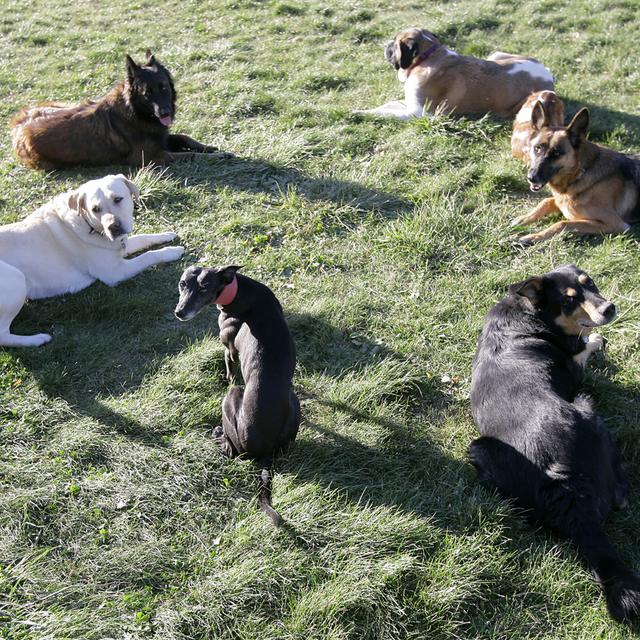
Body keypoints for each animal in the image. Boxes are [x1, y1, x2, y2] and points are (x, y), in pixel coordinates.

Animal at [0, 172, 185, 348]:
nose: (113, 227)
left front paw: (166, 235)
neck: (89, 226)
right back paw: (36, 340)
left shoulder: (119, 247)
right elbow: (149, 255)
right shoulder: (115, 272)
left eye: (118, 199)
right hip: (16, 279)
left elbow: (143, 238)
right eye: (95, 209)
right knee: (3, 336)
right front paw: (172, 251)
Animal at [11, 50, 230, 170]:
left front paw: (209, 147)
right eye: (147, 93)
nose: (165, 113)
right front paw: (215, 157)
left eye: (163, 87)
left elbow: (185, 138)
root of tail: (17, 127)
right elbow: (188, 155)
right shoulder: (152, 157)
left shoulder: (162, 137)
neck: (135, 112)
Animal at [174, 264, 302, 524]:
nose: (179, 312)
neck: (237, 289)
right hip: (295, 404)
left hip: (232, 400)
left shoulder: (230, 349)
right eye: (182, 284)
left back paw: (218, 434)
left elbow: (229, 370)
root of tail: (266, 452)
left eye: (205, 287)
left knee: (231, 451)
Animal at [470, 264, 640, 620]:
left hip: (481, 452)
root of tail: (567, 487)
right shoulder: (578, 370)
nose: (609, 308)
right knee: (621, 493)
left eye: (590, 283)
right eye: (569, 300)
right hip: (588, 408)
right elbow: (585, 346)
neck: (529, 314)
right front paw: (596, 339)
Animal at [512, 105, 640, 245]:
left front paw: (533, 237)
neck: (580, 172)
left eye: (557, 153)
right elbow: (545, 201)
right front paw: (524, 218)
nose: (531, 178)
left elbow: (563, 223)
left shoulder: (615, 224)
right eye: (537, 148)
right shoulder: (562, 200)